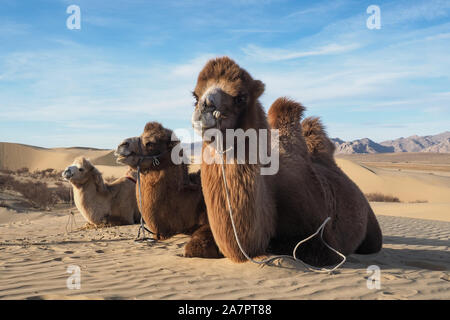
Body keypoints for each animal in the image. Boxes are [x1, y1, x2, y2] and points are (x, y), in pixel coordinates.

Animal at [192, 57, 382, 264]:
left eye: (241, 97)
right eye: (195, 96)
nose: (204, 108)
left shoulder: (322, 241)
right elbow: (194, 245)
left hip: (371, 227)